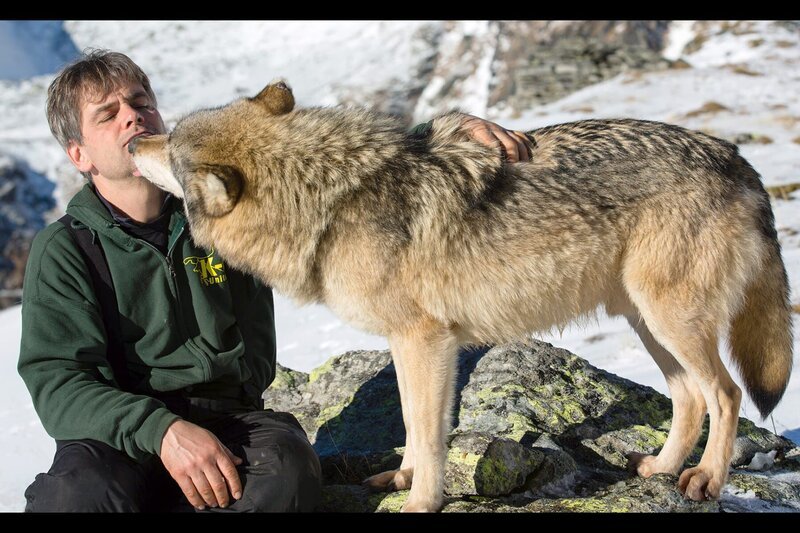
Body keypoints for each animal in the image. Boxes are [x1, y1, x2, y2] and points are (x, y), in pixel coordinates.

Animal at [130, 80, 793, 512]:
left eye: (169, 145)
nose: (134, 142)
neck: (333, 200)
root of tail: (738, 159)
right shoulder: (410, 345)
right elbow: (409, 420)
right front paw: (401, 479)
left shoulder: (426, 340)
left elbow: (427, 431)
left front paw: (423, 502)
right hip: (648, 324)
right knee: (689, 397)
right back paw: (661, 467)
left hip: (671, 320)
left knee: (727, 394)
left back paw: (705, 480)